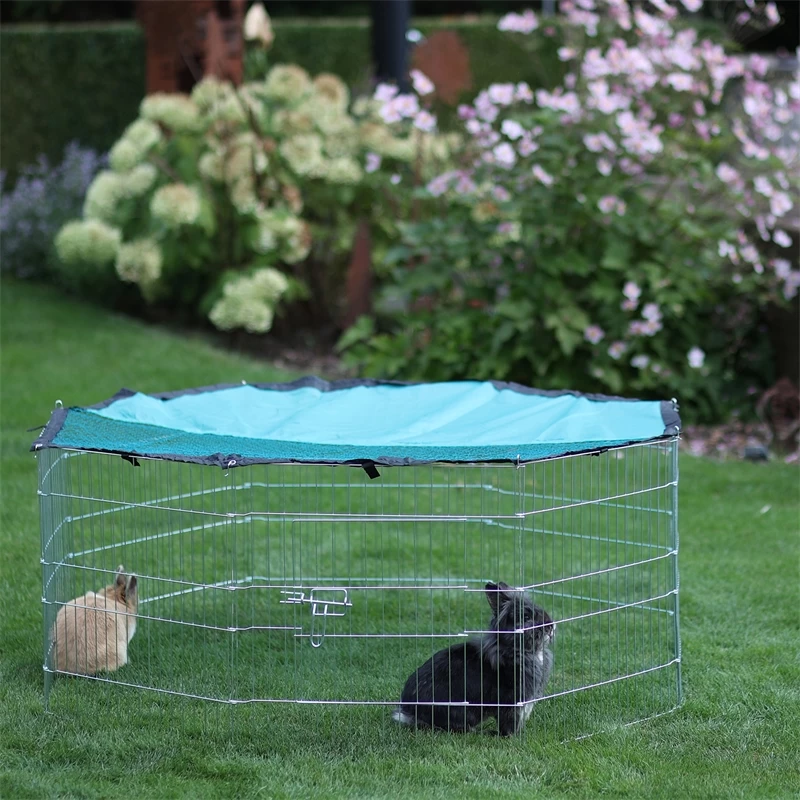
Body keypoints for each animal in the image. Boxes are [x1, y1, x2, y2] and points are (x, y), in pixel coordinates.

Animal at [393, 581, 555, 735]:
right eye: (526, 617)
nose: (550, 626)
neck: (514, 649)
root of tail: (410, 714)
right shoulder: (510, 701)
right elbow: (509, 723)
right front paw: (513, 736)